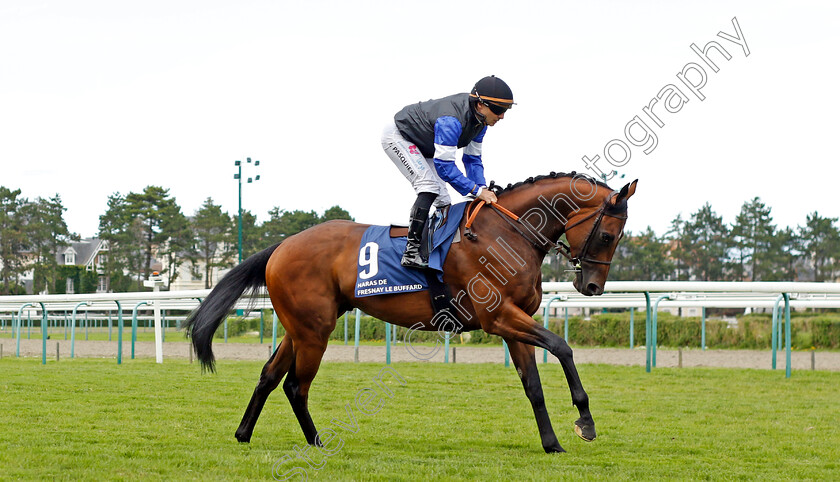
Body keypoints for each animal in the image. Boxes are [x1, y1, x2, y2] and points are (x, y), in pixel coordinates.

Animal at [185, 172, 636, 452]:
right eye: (608, 235)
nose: (591, 288)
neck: (506, 233)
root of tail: (281, 246)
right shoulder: (499, 318)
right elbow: (562, 347)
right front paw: (585, 421)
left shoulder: (512, 323)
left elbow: (534, 387)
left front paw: (552, 443)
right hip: (315, 330)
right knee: (296, 386)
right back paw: (317, 443)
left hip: (299, 328)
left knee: (268, 375)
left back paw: (244, 433)